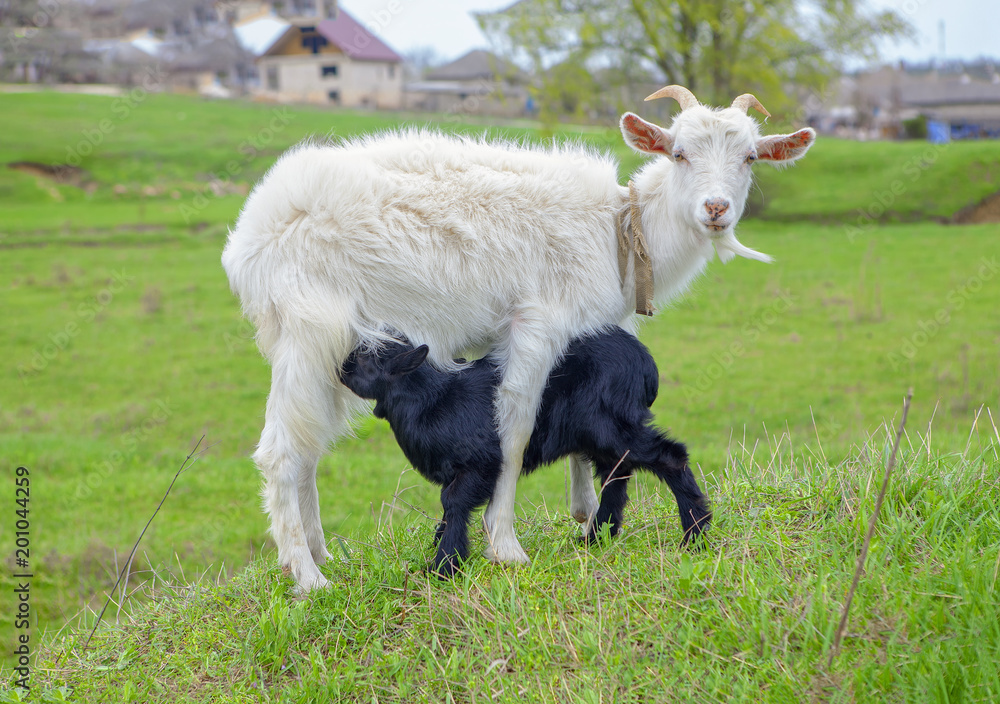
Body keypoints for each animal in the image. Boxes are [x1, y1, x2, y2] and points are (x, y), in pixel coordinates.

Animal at [338, 327, 709, 577]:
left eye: (367, 357)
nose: (342, 367)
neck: (435, 399)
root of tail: (646, 364)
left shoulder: (481, 463)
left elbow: (453, 502)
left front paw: (445, 565)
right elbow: (449, 507)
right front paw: (443, 549)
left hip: (613, 426)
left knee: (670, 457)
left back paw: (696, 534)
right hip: (602, 434)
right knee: (617, 474)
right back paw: (597, 537)